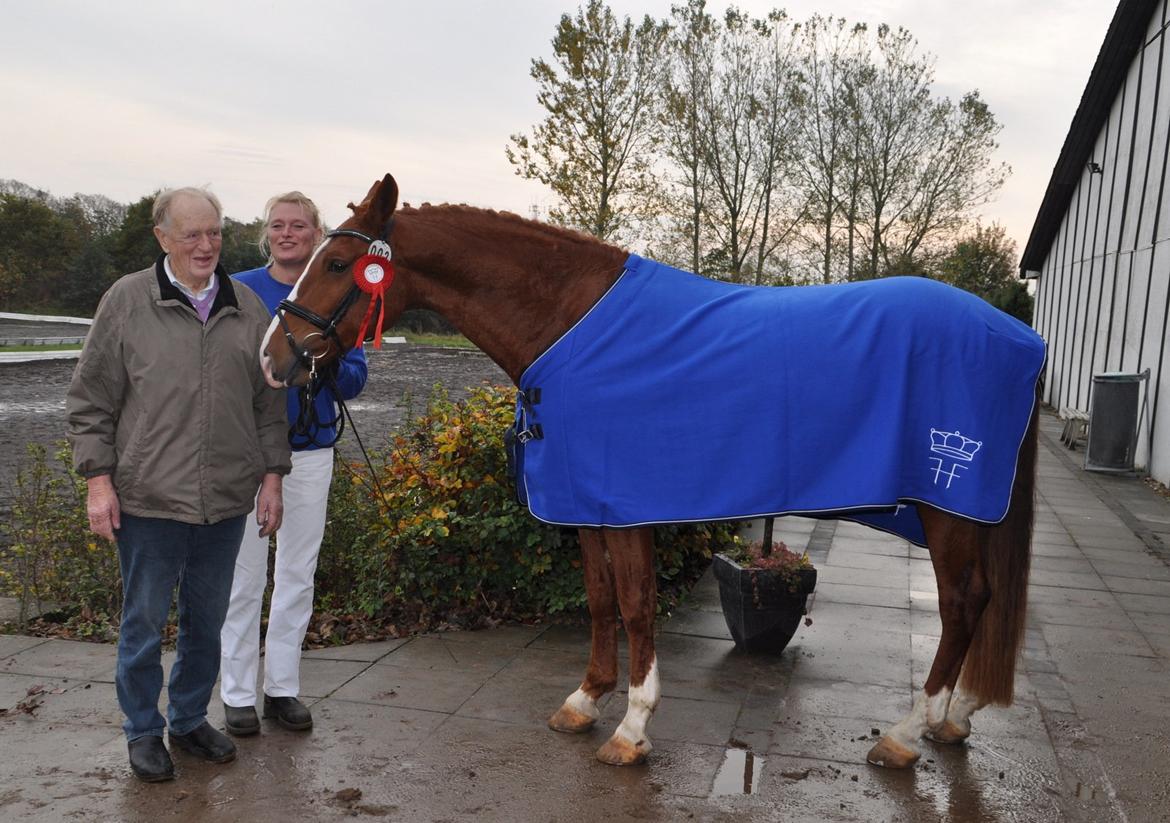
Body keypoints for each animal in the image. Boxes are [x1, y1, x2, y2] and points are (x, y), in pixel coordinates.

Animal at [260, 175, 1038, 772]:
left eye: (339, 265)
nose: (273, 357)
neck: (573, 323)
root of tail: (1019, 334)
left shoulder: (626, 506)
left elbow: (636, 603)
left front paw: (632, 728)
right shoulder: (586, 508)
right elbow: (601, 600)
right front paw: (584, 701)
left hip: (950, 505)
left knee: (962, 602)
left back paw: (906, 734)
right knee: (988, 597)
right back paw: (955, 718)